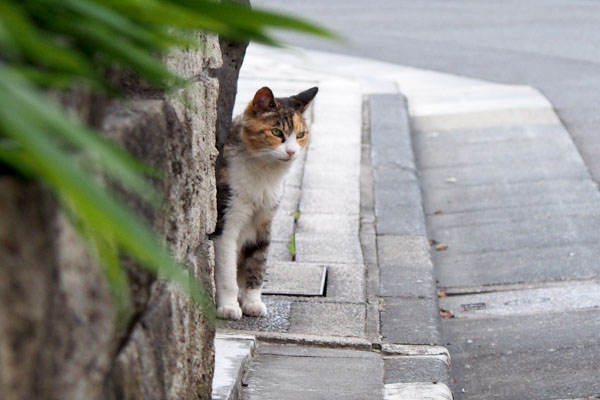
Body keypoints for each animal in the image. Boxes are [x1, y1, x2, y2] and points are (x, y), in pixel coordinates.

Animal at [214, 86, 322, 320]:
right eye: (276, 132)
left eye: (301, 135)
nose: (291, 152)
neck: (263, 174)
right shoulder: (226, 221)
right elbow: (226, 271)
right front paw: (228, 307)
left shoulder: (263, 223)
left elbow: (258, 264)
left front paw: (252, 303)